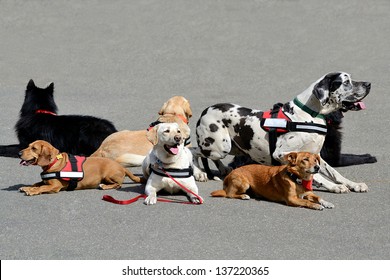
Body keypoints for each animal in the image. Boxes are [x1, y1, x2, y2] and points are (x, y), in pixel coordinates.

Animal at [195, 72, 372, 194]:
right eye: (346, 82)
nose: (369, 84)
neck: (309, 115)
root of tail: (205, 110)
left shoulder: (317, 156)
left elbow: (335, 173)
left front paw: (353, 184)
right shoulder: (281, 154)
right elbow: (318, 175)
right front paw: (334, 187)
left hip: (232, 148)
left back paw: (223, 169)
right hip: (218, 147)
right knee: (194, 151)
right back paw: (199, 173)